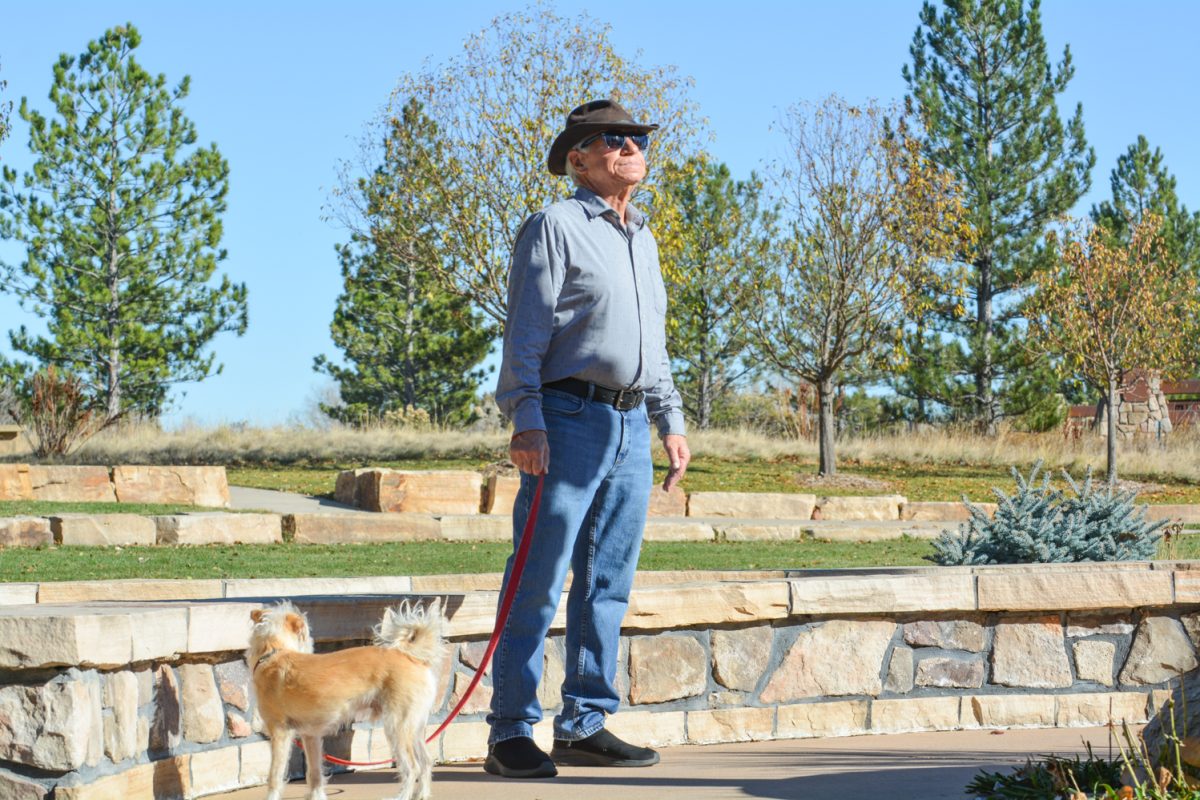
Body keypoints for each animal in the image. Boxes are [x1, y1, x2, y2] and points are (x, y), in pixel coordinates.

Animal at [246, 599, 448, 800]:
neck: (273, 653)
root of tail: (411, 657)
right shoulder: (310, 736)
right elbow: (315, 774)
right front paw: (317, 796)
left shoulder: (280, 732)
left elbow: (275, 775)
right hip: (414, 727)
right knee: (426, 762)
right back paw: (422, 794)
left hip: (397, 726)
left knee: (412, 768)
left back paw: (402, 796)